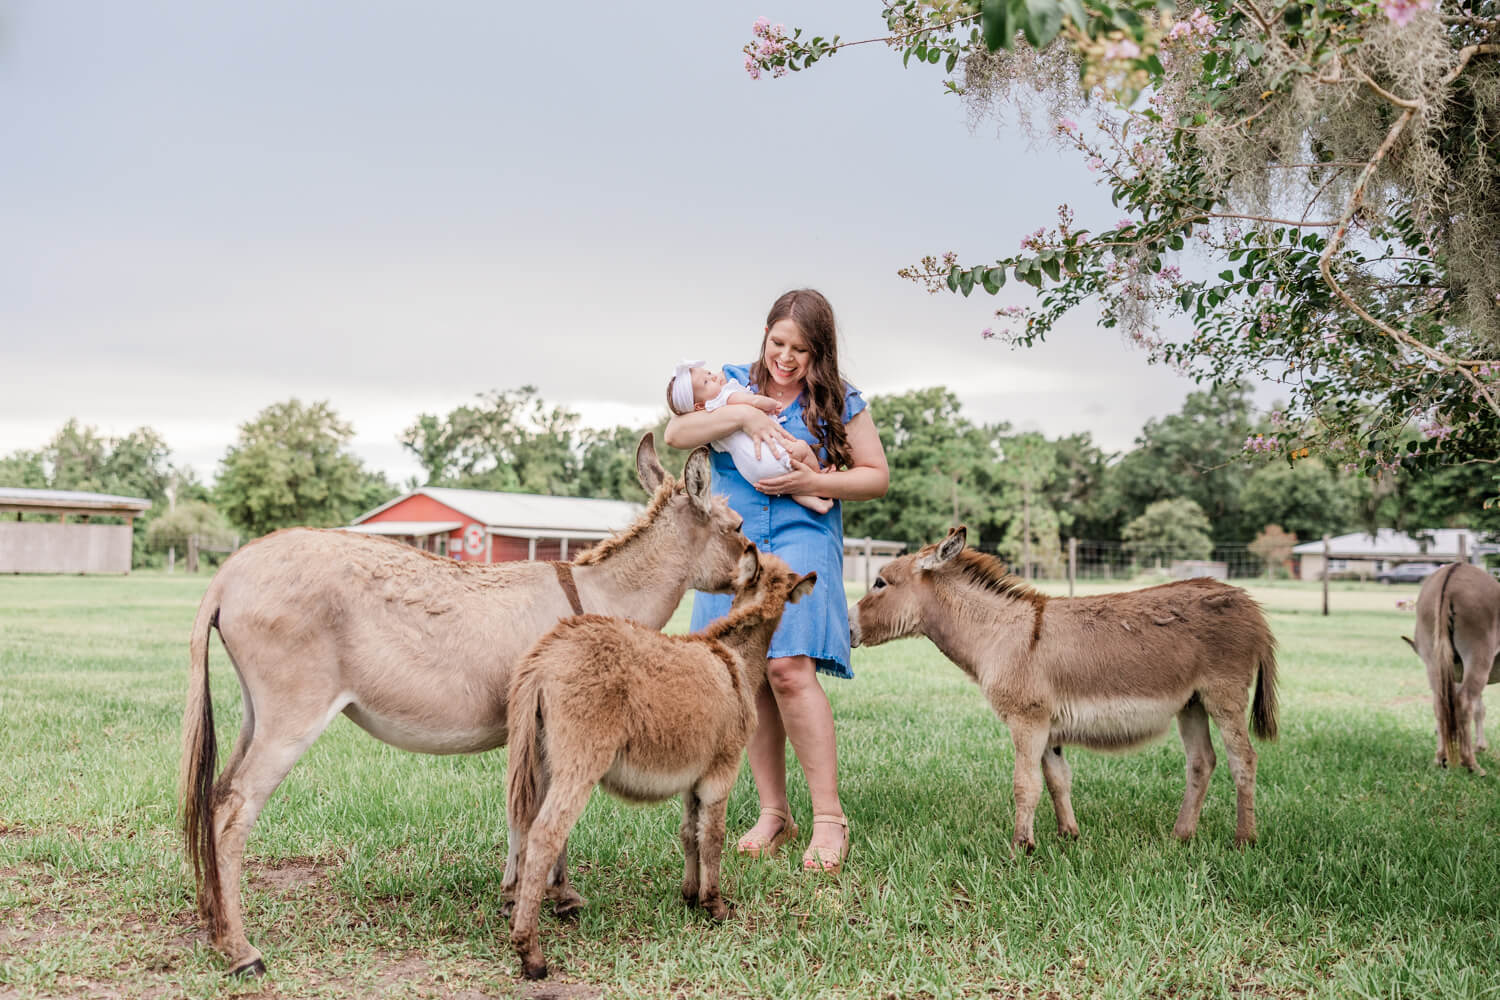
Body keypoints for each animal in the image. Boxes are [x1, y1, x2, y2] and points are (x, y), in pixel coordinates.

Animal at [181, 434, 750, 977]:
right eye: (740, 524)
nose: (758, 561)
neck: (593, 598)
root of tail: (228, 573)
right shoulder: (549, 729)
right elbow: (539, 817)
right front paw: (550, 898)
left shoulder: (536, 736)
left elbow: (523, 816)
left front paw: (527, 895)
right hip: (292, 719)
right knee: (233, 811)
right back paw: (241, 951)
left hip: (256, 715)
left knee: (213, 797)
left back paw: (214, 926)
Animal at [507, 542, 816, 983]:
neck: (732, 659)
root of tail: (545, 657)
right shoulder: (722, 768)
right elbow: (714, 836)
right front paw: (715, 905)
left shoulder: (692, 778)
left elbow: (690, 833)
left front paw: (689, 895)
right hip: (580, 761)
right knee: (545, 835)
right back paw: (530, 953)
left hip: (541, 760)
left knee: (525, 826)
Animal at [852, 527, 1272, 851]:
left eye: (880, 582)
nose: (849, 629)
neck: (999, 634)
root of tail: (1249, 603)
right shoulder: (1049, 728)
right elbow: (1057, 781)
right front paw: (1068, 835)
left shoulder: (1027, 721)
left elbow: (1025, 785)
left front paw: (1021, 847)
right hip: (1192, 703)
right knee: (1201, 762)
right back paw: (1181, 836)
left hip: (1224, 696)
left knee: (1243, 759)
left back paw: (1244, 840)